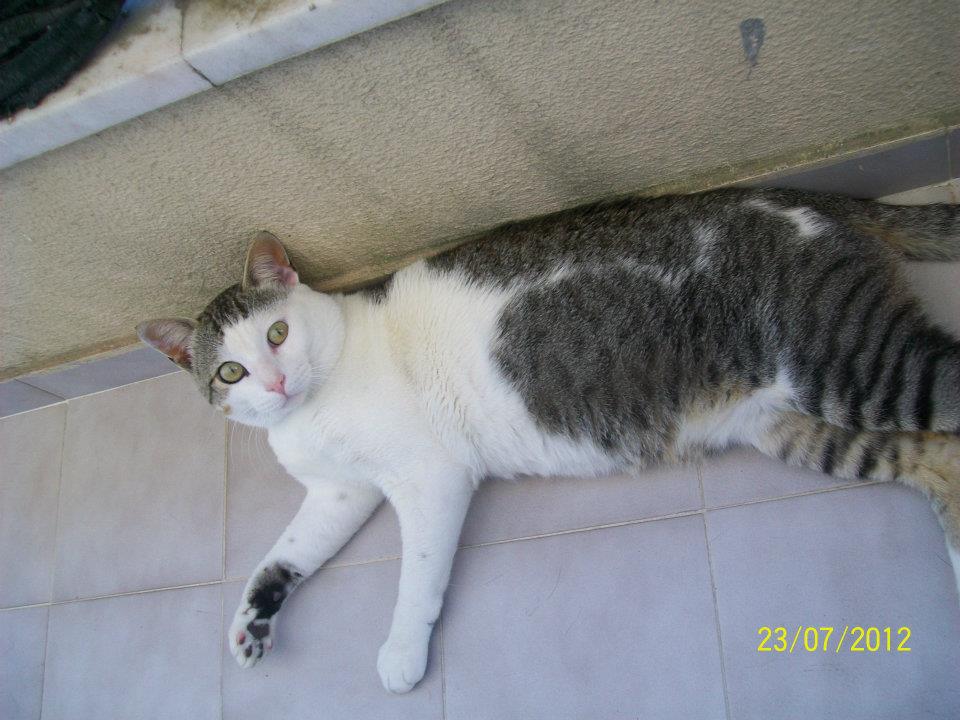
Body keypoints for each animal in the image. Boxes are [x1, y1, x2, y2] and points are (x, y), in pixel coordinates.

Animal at [138, 187, 960, 694]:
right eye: (231, 371)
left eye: (278, 332)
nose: (275, 383)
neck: (311, 411)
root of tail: (808, 198)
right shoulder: (343, 492)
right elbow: (285, 554)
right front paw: (251, 623)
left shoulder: (427, 478)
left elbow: (416, 575)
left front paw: (401, 654)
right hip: (795, 423)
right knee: (938, 454)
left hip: (845, 361)